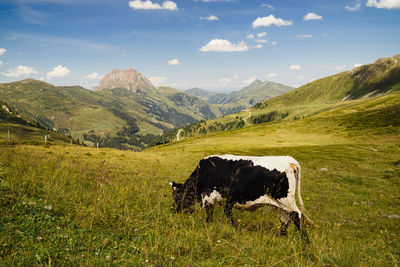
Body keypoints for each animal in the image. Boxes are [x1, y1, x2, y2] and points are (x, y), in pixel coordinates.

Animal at [170, 155, 314, 241]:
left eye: (177, 197)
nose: (174, 210)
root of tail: (288, 159)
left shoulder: (209, 195)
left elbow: (211, 213)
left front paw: (210, 225)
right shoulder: (228, 199)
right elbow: (227, 213)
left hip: (286, 199)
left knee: (297, 215)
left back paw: (305, 240)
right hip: (281, 202)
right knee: (285, 217)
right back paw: (282, 236)